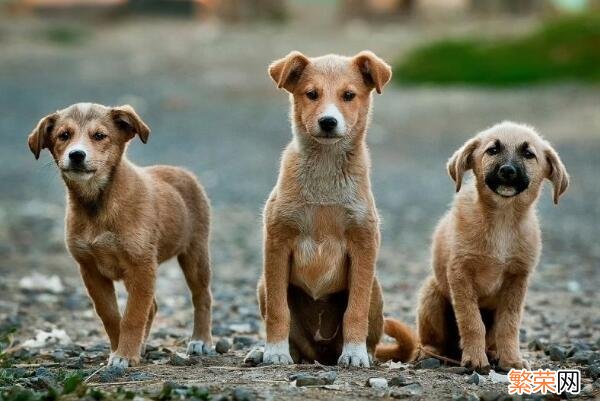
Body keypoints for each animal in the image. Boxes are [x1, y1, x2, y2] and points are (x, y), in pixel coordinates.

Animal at [29, 102, 216, 366]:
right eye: (63, 135)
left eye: (99, 136)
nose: (76, 155)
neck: (98, 205)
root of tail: (182, 172)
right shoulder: (90, 269)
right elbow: (110, 314)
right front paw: (120, 350)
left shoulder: (141, 265)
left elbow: (133, 315)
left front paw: (125, 355)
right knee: (153, 306)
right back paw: (144, 346)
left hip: (195, 253)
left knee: (202, 297)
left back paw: (201, 340)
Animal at [258, 51, 418, 368]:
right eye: (311, 94)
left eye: (348, 95)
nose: (328, 122)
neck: (325, 169)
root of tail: (322, 354)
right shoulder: (277, 241)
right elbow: (278, 309)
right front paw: (275, 351)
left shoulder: (363, 243)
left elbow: (354, 310)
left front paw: (354, 353)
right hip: (262, 285)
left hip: (375, 290)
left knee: (369, 333)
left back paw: (363, 352)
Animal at [414, 120, 568, 370]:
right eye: (493, 150)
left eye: (528, 154)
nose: (507, 171)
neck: (502, 221)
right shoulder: (460, 274)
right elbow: (471, 321)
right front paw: (475, 358)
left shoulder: (517, 279)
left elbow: (509, 324)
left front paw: (511, 360)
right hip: (432, 294)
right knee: (431, 340)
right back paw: (430, 354)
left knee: (494, 336)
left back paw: (494, 353)